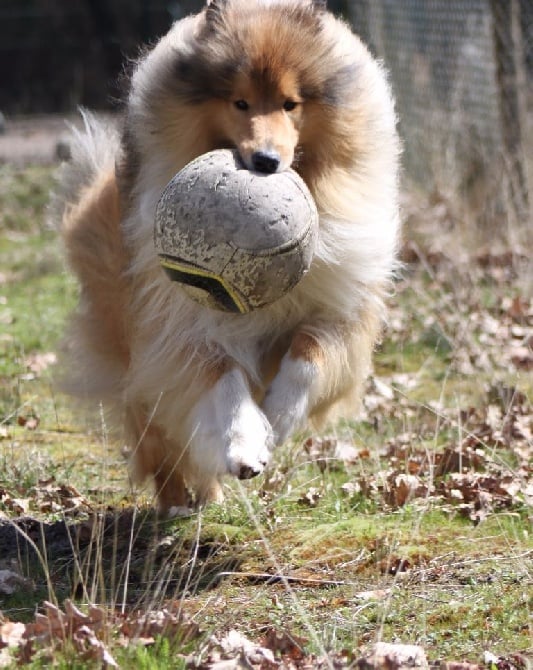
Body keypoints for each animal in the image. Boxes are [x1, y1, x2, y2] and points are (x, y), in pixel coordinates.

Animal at [53, 1, 400, 516]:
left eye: (290, 103)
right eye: (239, 103)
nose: (265, 162)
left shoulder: (339, 304)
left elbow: (309, 354)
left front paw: (276, 415)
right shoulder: (181, 323)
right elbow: (223, 380)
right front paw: (245, 445)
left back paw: (211, 497)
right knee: (161, 440)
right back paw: (177, 503)